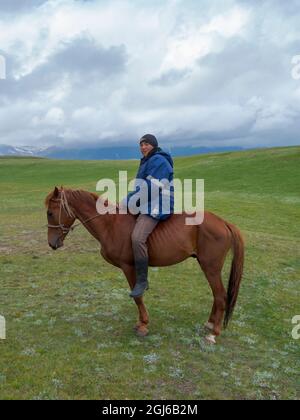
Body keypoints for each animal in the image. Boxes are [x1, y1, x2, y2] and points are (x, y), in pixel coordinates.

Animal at [46, 187, 244, 344]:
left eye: (50, 213)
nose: (52, 243)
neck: (110, 225)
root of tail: (224, 223)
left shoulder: (129, 267)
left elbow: (137, 296)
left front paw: (142, 325)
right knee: (217, 296)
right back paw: (210, 324)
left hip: (211, 268)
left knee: (220, 296)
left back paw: (213, 333)